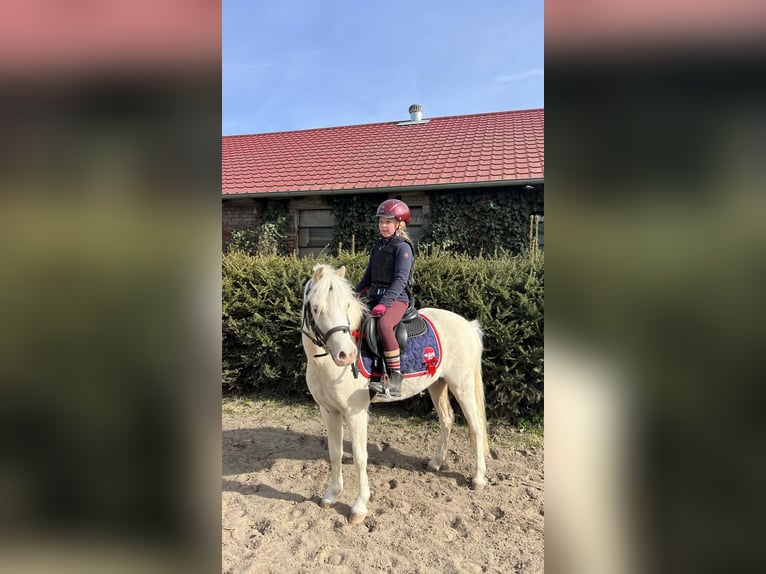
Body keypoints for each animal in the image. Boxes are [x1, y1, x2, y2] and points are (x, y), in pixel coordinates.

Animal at [301, 263, 489, 525]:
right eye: (316, 308)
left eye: (347, 306)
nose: (347, 355)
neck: (325, 364)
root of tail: (467, 325)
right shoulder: (329, 411)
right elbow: (335, 452)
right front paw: (331, 495)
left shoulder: (356, 412)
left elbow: (360, 456)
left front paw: (359, 507)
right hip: (437, 384)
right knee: (447, 420)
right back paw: (436, 463)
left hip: (462, 386)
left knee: (476, 426)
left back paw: (478, 478)